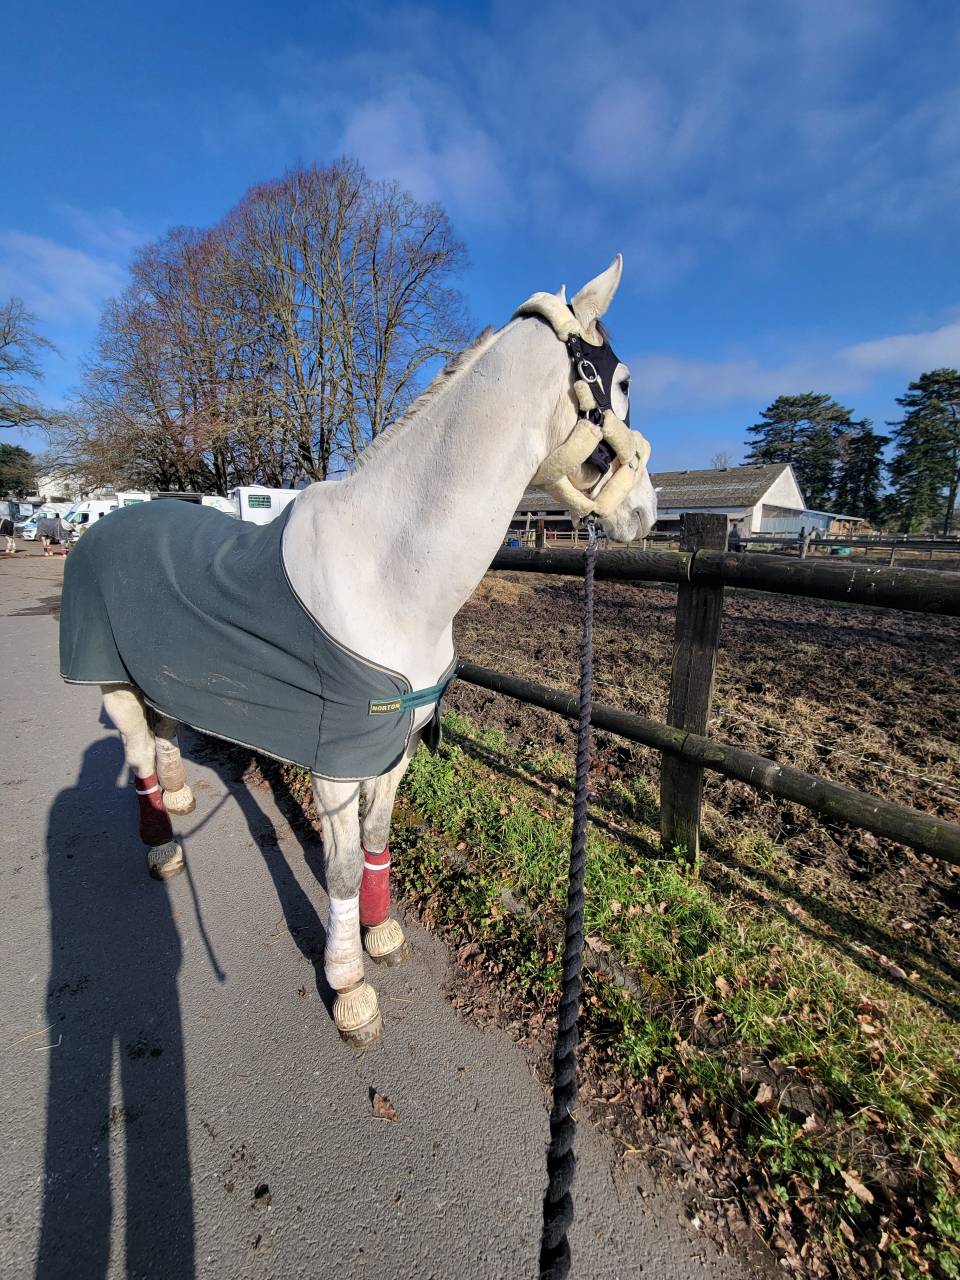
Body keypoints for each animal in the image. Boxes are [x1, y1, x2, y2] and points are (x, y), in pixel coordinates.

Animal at [59, 255, 657, 1046]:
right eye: (622, 382)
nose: (646, 512)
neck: (387, 572)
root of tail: (98, 526)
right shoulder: (336, 765)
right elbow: (340, 870)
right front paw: (348, 988)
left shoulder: (392, 749)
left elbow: (377, 842)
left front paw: (381, 935)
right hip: (112, 683)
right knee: (135, 756)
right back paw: (161, 846)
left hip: (157, 675)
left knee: (162, 734)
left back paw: (183, 796)